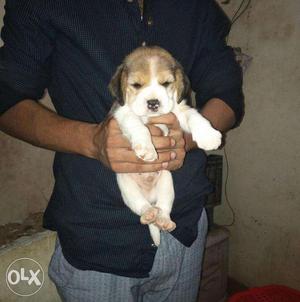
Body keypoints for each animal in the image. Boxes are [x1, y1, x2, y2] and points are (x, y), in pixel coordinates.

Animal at [108, 46, 220, 245]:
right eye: (136, 85)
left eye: (166, 83)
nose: (153, 103)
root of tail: (150, 197)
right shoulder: (122, 113)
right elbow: (136, 124)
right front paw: (146, 148)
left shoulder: (177, 111)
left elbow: (194, 116)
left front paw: (208, 136)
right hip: (127, 188)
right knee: (141, 206)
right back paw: (149, 214)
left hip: (167, 184)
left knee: (164, 209)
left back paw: (164, 220)